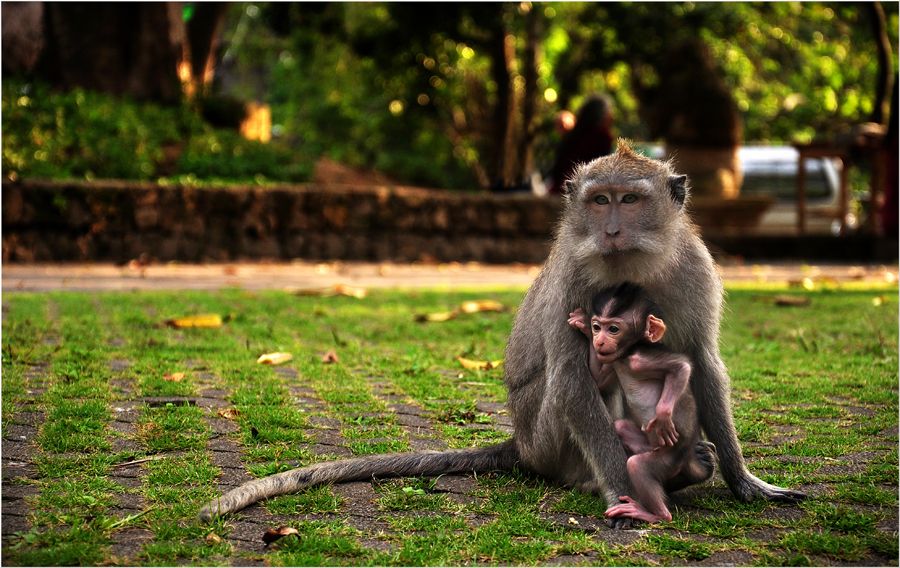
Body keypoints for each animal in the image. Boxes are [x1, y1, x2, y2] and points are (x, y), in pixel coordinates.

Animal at [567, 282, 706, 523]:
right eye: (597, 327)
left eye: (613, 329)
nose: (599, 341)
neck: (625, 356)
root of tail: (687, 455)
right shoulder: (612, 360)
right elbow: (599, 381)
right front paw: (582, 325)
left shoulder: (640, 359)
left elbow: (681, 367)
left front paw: (663, 417)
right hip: (649, 445)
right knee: (621, 426)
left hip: (669, 456)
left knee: (639, 466)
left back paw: (653, 514)